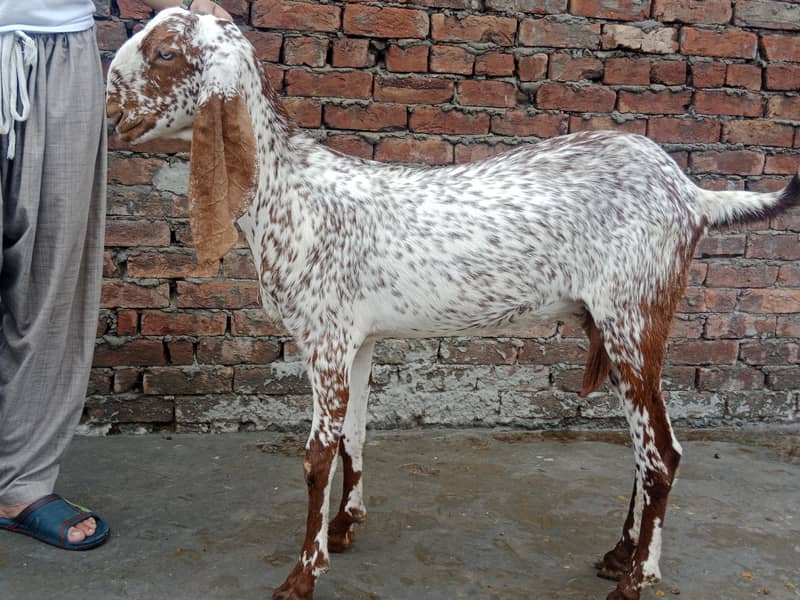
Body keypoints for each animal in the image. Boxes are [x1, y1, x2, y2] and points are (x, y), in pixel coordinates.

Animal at [107, 9, 799, 600]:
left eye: (165, 52)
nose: (113, 112)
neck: (290, 195)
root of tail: (692, 194)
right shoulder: (358, 339)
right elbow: (354, 435)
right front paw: (345, 527)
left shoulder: (323, 339)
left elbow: (315, 457)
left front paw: (303, 575)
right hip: (622, 324)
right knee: (642, 442)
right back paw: (619, 556)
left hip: (633, 315)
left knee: (662, 451)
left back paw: (637, 579)